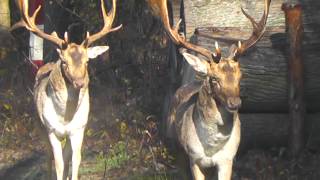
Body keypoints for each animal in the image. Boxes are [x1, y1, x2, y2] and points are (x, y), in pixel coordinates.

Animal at [10, 0, 122, 179]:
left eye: (87, 61)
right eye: (64, 62)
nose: (80, 82)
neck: (65, 117)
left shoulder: (78, 129)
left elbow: (74, 160)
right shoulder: (51, 130)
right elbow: (58, 163)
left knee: (66, 156)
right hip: (40, 126)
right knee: (49, 156)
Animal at [149, 0, 272, 179]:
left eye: (240, 76)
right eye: (214, 78)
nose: (235, 103)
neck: (211, 147)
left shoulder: (227, 159)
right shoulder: (194, 159)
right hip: (174, 145)